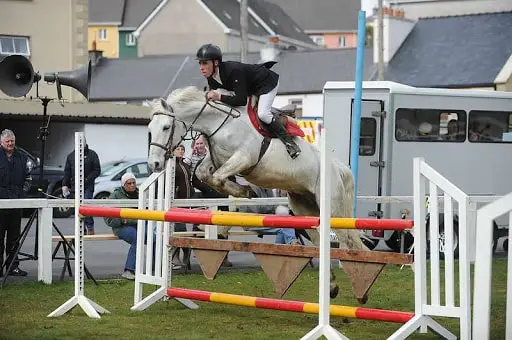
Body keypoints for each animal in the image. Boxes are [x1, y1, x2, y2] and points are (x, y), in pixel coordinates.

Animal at [146, 86, 370, 302]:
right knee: (320, 242)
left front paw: (245, 191)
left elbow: (218, 177)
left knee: (349, 243)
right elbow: (205, 174)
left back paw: (362, 290)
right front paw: (242, 193)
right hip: (305, 208)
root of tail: (339, 167)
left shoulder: (243, 158)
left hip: (332, 209)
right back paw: (333, 287)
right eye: (149, 129)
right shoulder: (215, 161)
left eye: (166, 127)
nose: (154, 164)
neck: (221, 124)